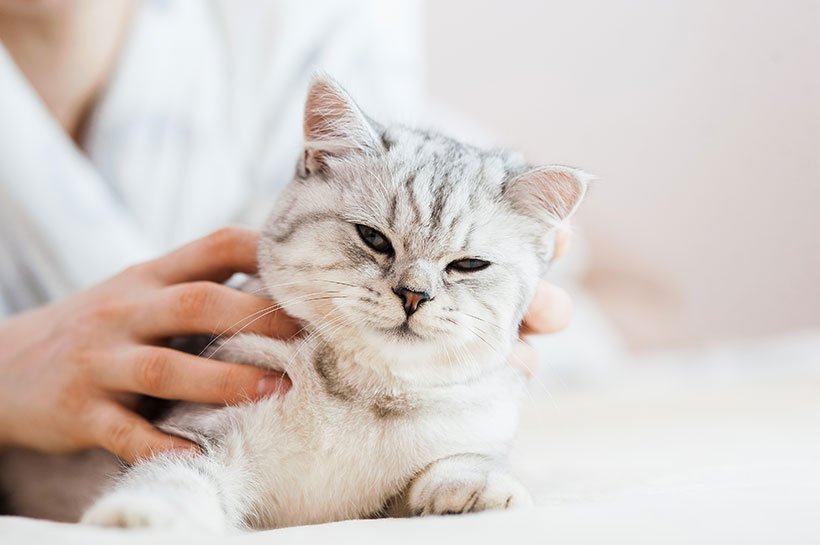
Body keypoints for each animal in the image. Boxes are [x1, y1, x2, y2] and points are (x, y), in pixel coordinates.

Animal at [0, 74, 588, 528]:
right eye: (373, 238)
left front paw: (480, 492)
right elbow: (173, 478)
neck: (364, 393)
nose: (413, 295)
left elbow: (449, 465)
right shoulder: (200, 437)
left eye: (467, 265)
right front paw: (142, 519)